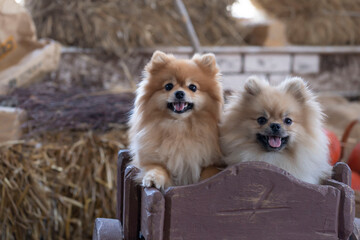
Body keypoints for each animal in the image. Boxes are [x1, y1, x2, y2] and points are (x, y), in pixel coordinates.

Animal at [129, 50, 224, 189]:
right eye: (168, 86)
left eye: (193, 87)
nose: (179, 93)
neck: (179, 127)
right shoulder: (152, 160)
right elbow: (157, 168)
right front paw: (153, 178)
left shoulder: (212, 162)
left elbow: (209, 172)